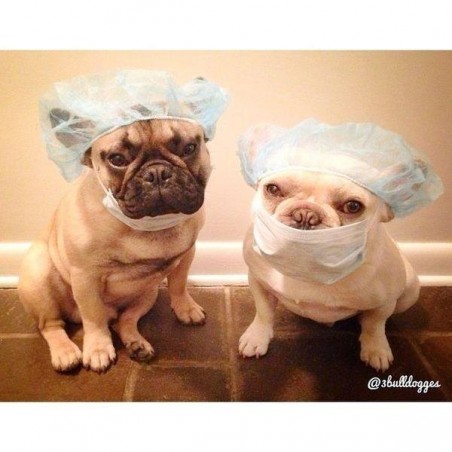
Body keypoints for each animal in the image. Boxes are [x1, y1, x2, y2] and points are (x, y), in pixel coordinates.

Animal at [19, 117, 213, 373]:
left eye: (189, 148)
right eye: (117, 160)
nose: (157, 172)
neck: (150, 225)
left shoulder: (187, 254)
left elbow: (179, 285)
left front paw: (185, 308)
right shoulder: (85, 277)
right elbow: (93, 318)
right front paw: (98, 348)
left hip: (148, 293)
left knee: (125, 320)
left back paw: (136, 343)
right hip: (38, 278)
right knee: (52, 326)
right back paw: (65, 352)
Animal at [238, 163, 423, 372]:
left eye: (353, 206)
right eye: (273, 189)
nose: (306, 215)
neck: (307, 267)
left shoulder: (385, 302)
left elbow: (375, 324)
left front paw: (376, 349)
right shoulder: (258, 281)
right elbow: (263, 312)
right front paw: (256, 337)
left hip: (411, 290)